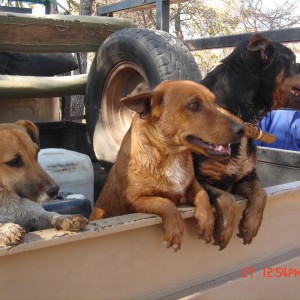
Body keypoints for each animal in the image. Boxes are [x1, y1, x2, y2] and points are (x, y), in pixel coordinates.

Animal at [89, 81, 246, 250]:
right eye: (194, 105)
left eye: (215, 102)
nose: (242, 128)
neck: (172, 157)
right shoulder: (133, 200)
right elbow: (165, 202)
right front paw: (174, 229)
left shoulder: (191, 183)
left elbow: (203, 194)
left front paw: (206, 221)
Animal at [193, 32, 300, 250]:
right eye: (293, 62)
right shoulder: (198, 177)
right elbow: (226, 198)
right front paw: (224, 231)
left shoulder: (245, 176)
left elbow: (261, 193)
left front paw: (250, 225)